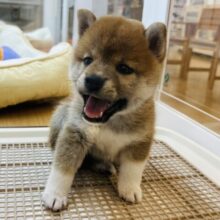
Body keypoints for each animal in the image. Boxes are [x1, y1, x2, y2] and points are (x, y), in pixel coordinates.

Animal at [42, 9, 166, 211]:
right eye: (88, 60)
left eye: (124, 68)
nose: (93, 80)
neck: (109, 123)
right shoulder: (75, 134)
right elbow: (62, 169)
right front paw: (55, 194)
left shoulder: (140, 141)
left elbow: (132, 171)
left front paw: (130, 189)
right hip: (60, 116)